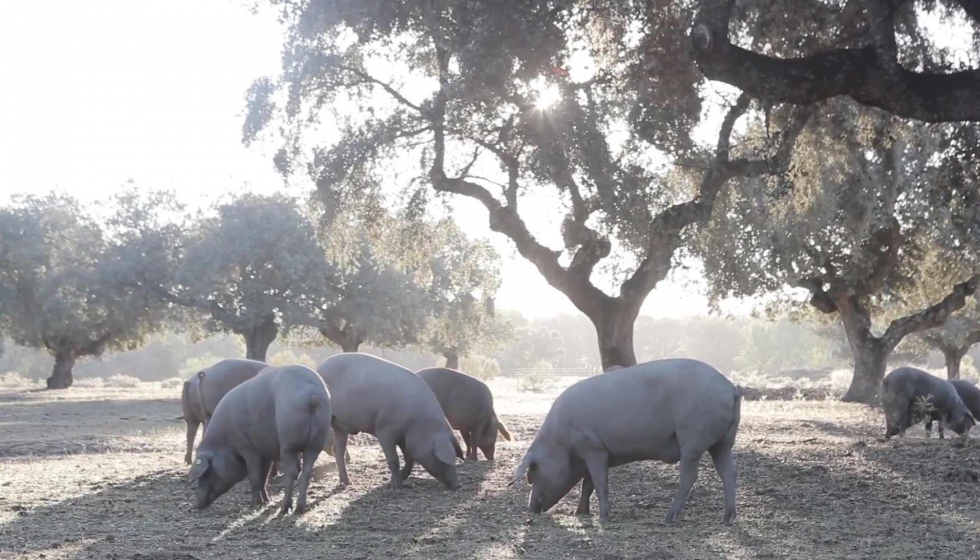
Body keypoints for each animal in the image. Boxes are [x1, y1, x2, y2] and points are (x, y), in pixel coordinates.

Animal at [187, 364, 334, 516]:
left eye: (207, 472)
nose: (196, 505)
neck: (225, 441)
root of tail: (312, 395)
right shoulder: (265, 452)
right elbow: (264, 477)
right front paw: (266, 502)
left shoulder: (248, 449)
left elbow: (255, 477)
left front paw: (253, 506)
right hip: (316, 443)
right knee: (306, 472)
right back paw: (299, 509)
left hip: (288, 444)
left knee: (291, 473)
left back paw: (284, 509)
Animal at [316, 354, 466, 490]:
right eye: (442, 461)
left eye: (455, 459)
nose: (458, 485)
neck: (417, 423)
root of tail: (320, 367)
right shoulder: (384, 430)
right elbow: (394, 459)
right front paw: (396, 487)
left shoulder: (405, 440)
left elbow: (409, 458)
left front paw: (402, 478)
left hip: (340, 426)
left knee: (338, 450)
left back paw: (347, 483)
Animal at [510, 358, 740, 524]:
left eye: (532, 474)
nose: (530, 509)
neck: (560, 443)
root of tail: (730, 388)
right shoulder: (593, 453)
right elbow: (588, 484)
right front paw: (580, 513)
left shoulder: (594, 449)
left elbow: (600, 483)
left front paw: (603, 518)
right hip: (724, 442)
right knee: (728, 474)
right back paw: (726, 519)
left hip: (692, 439)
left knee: (690, 476)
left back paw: (668, 519)